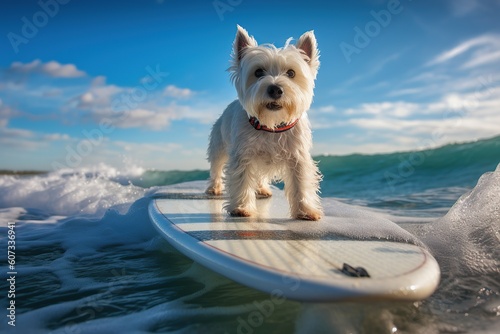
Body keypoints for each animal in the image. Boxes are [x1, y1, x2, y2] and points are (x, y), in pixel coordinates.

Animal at [205, 24, 322, 220]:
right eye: (258, 72)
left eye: (291, 73)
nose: (275, 89)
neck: (271, 125)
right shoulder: (243, 155)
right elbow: (242, 179)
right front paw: (242, 208)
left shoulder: (297, 157)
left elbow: (300, 183)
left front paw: (305, 210)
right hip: (218, 146)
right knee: (216, 167)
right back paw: (214, 188)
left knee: (259, 176)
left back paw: (262, 189)